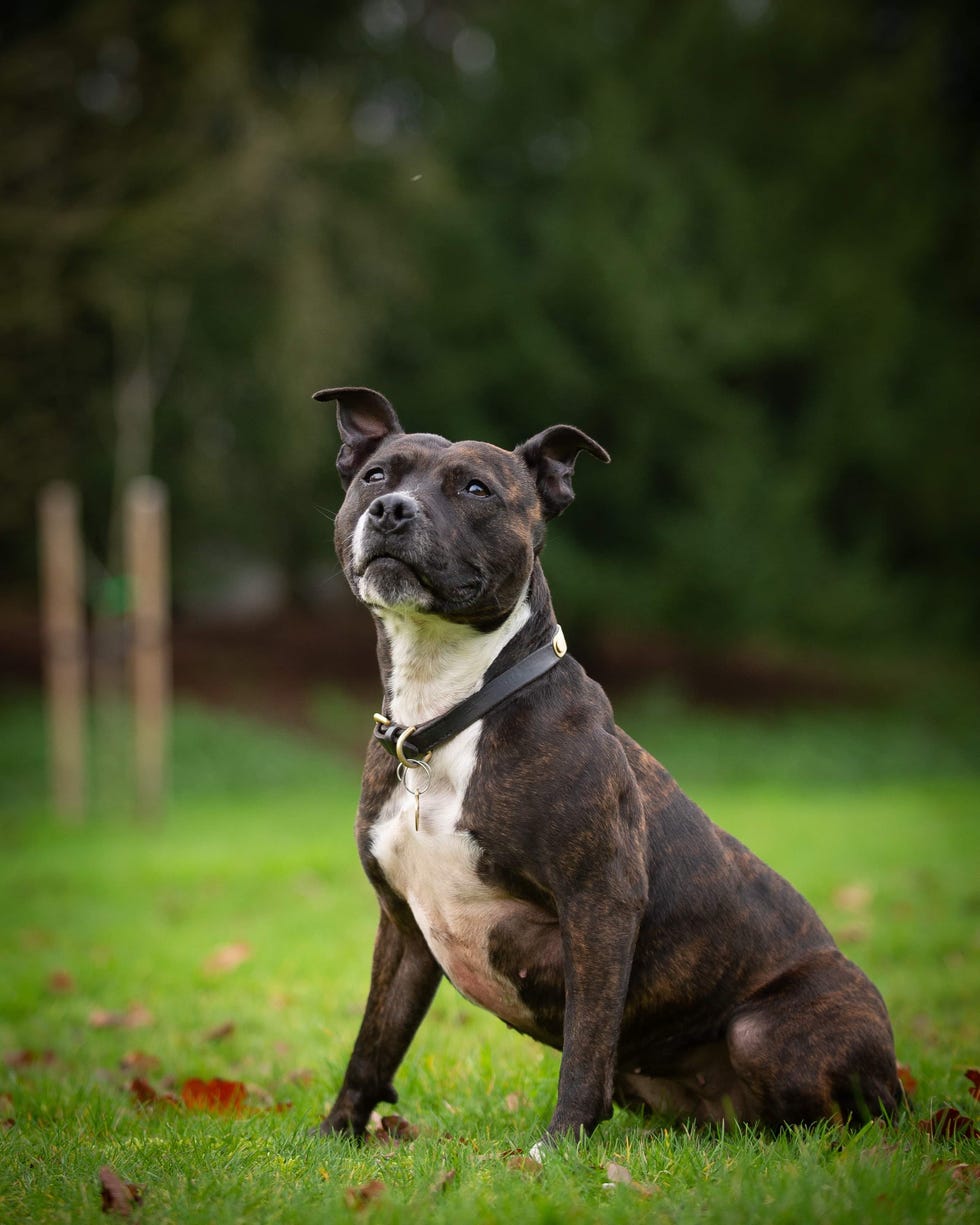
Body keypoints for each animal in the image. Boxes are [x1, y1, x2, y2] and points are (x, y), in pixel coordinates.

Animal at [316, 384, 901, 1146]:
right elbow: (374, 1042)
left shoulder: (599, 903)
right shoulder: (404, 929)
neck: (450, 712)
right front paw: (335, 1134)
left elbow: (587, 1042)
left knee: (842, 1121)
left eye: (475, 489)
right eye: (376, 476)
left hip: (769, 1030)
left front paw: (559, 1145)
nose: (390, 509)